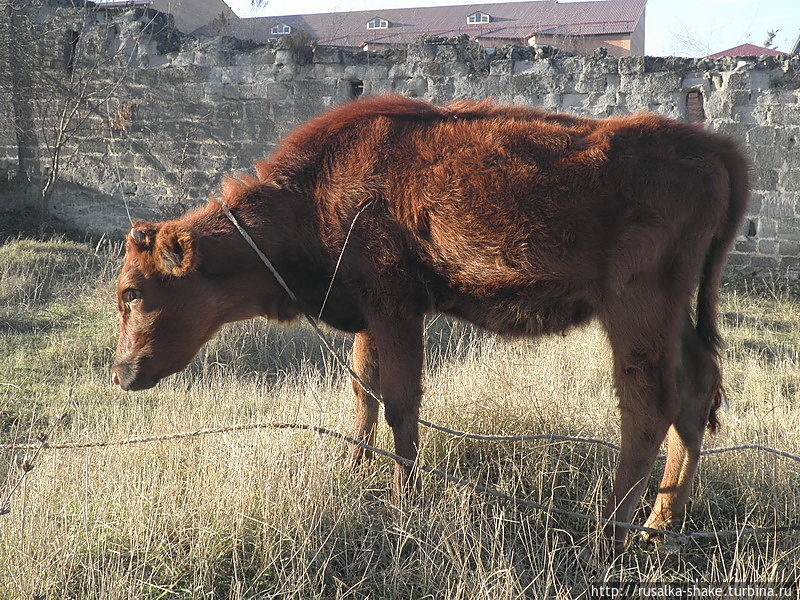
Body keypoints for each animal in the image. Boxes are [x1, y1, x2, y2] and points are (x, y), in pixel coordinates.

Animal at [112, 95, 752, 548]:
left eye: (133, 292)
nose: (121, 373)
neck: (313, 194)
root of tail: (713, 146)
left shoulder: (395, 306)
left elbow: (400, 400)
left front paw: (402, 498)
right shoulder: (371, 314)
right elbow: (364, 389)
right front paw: (351, 469)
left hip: (635, 307)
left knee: (648, 403)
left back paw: (609, 535)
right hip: (673, 314)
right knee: (695, 393)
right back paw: (662, 524)